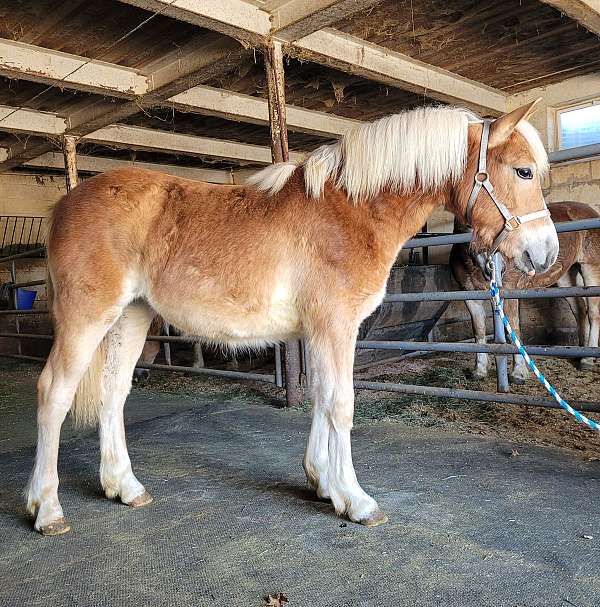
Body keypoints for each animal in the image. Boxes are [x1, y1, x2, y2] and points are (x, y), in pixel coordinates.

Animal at [24, 101, 556, 536]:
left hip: (131, 317)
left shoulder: (320, 331)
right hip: (86, 317)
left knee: (113, 394)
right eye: (523, 171)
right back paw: (47, 509)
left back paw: (124, 486)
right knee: (54, 393)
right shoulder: (335, 325)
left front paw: (322, 482)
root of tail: (63, 204)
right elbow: (341, 405)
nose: (545, 253)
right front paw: (355, 500)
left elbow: (321, 399)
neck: (350, 213)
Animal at [450, 204, 600, 384]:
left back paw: (587, 359)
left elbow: (514, 331)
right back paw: (582, 351)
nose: (498, 267)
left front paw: (519, 372)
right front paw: (479, 370)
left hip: (590, 268)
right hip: (565, 277)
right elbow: (478, 332)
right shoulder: (470, 297)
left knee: (593, 312)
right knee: (580, 310)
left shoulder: (508, 293)